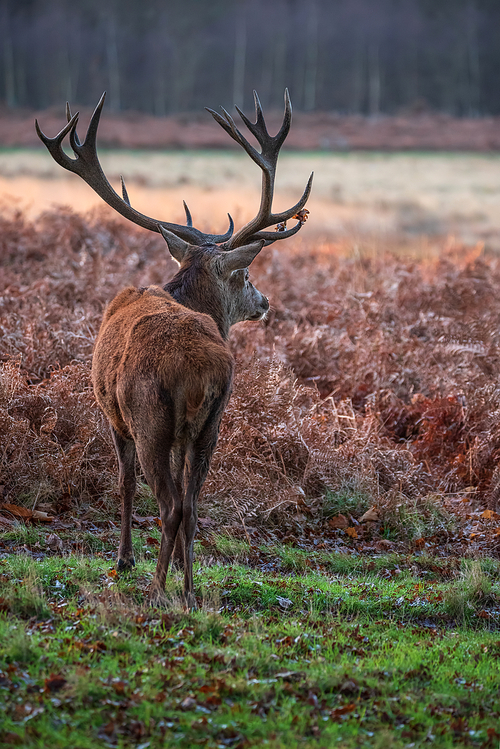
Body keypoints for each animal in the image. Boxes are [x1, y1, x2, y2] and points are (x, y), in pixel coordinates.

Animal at [35, 92, 310, 608]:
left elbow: (124, 483)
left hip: (151, 420)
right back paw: (187, 591)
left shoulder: (113, 414)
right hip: (210, 425)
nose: (265, 302)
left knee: (168, 504)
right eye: (245, 275)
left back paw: (157, 590)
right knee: (192, 504)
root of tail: (198, 367)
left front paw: (124, 559)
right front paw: (178, 566)